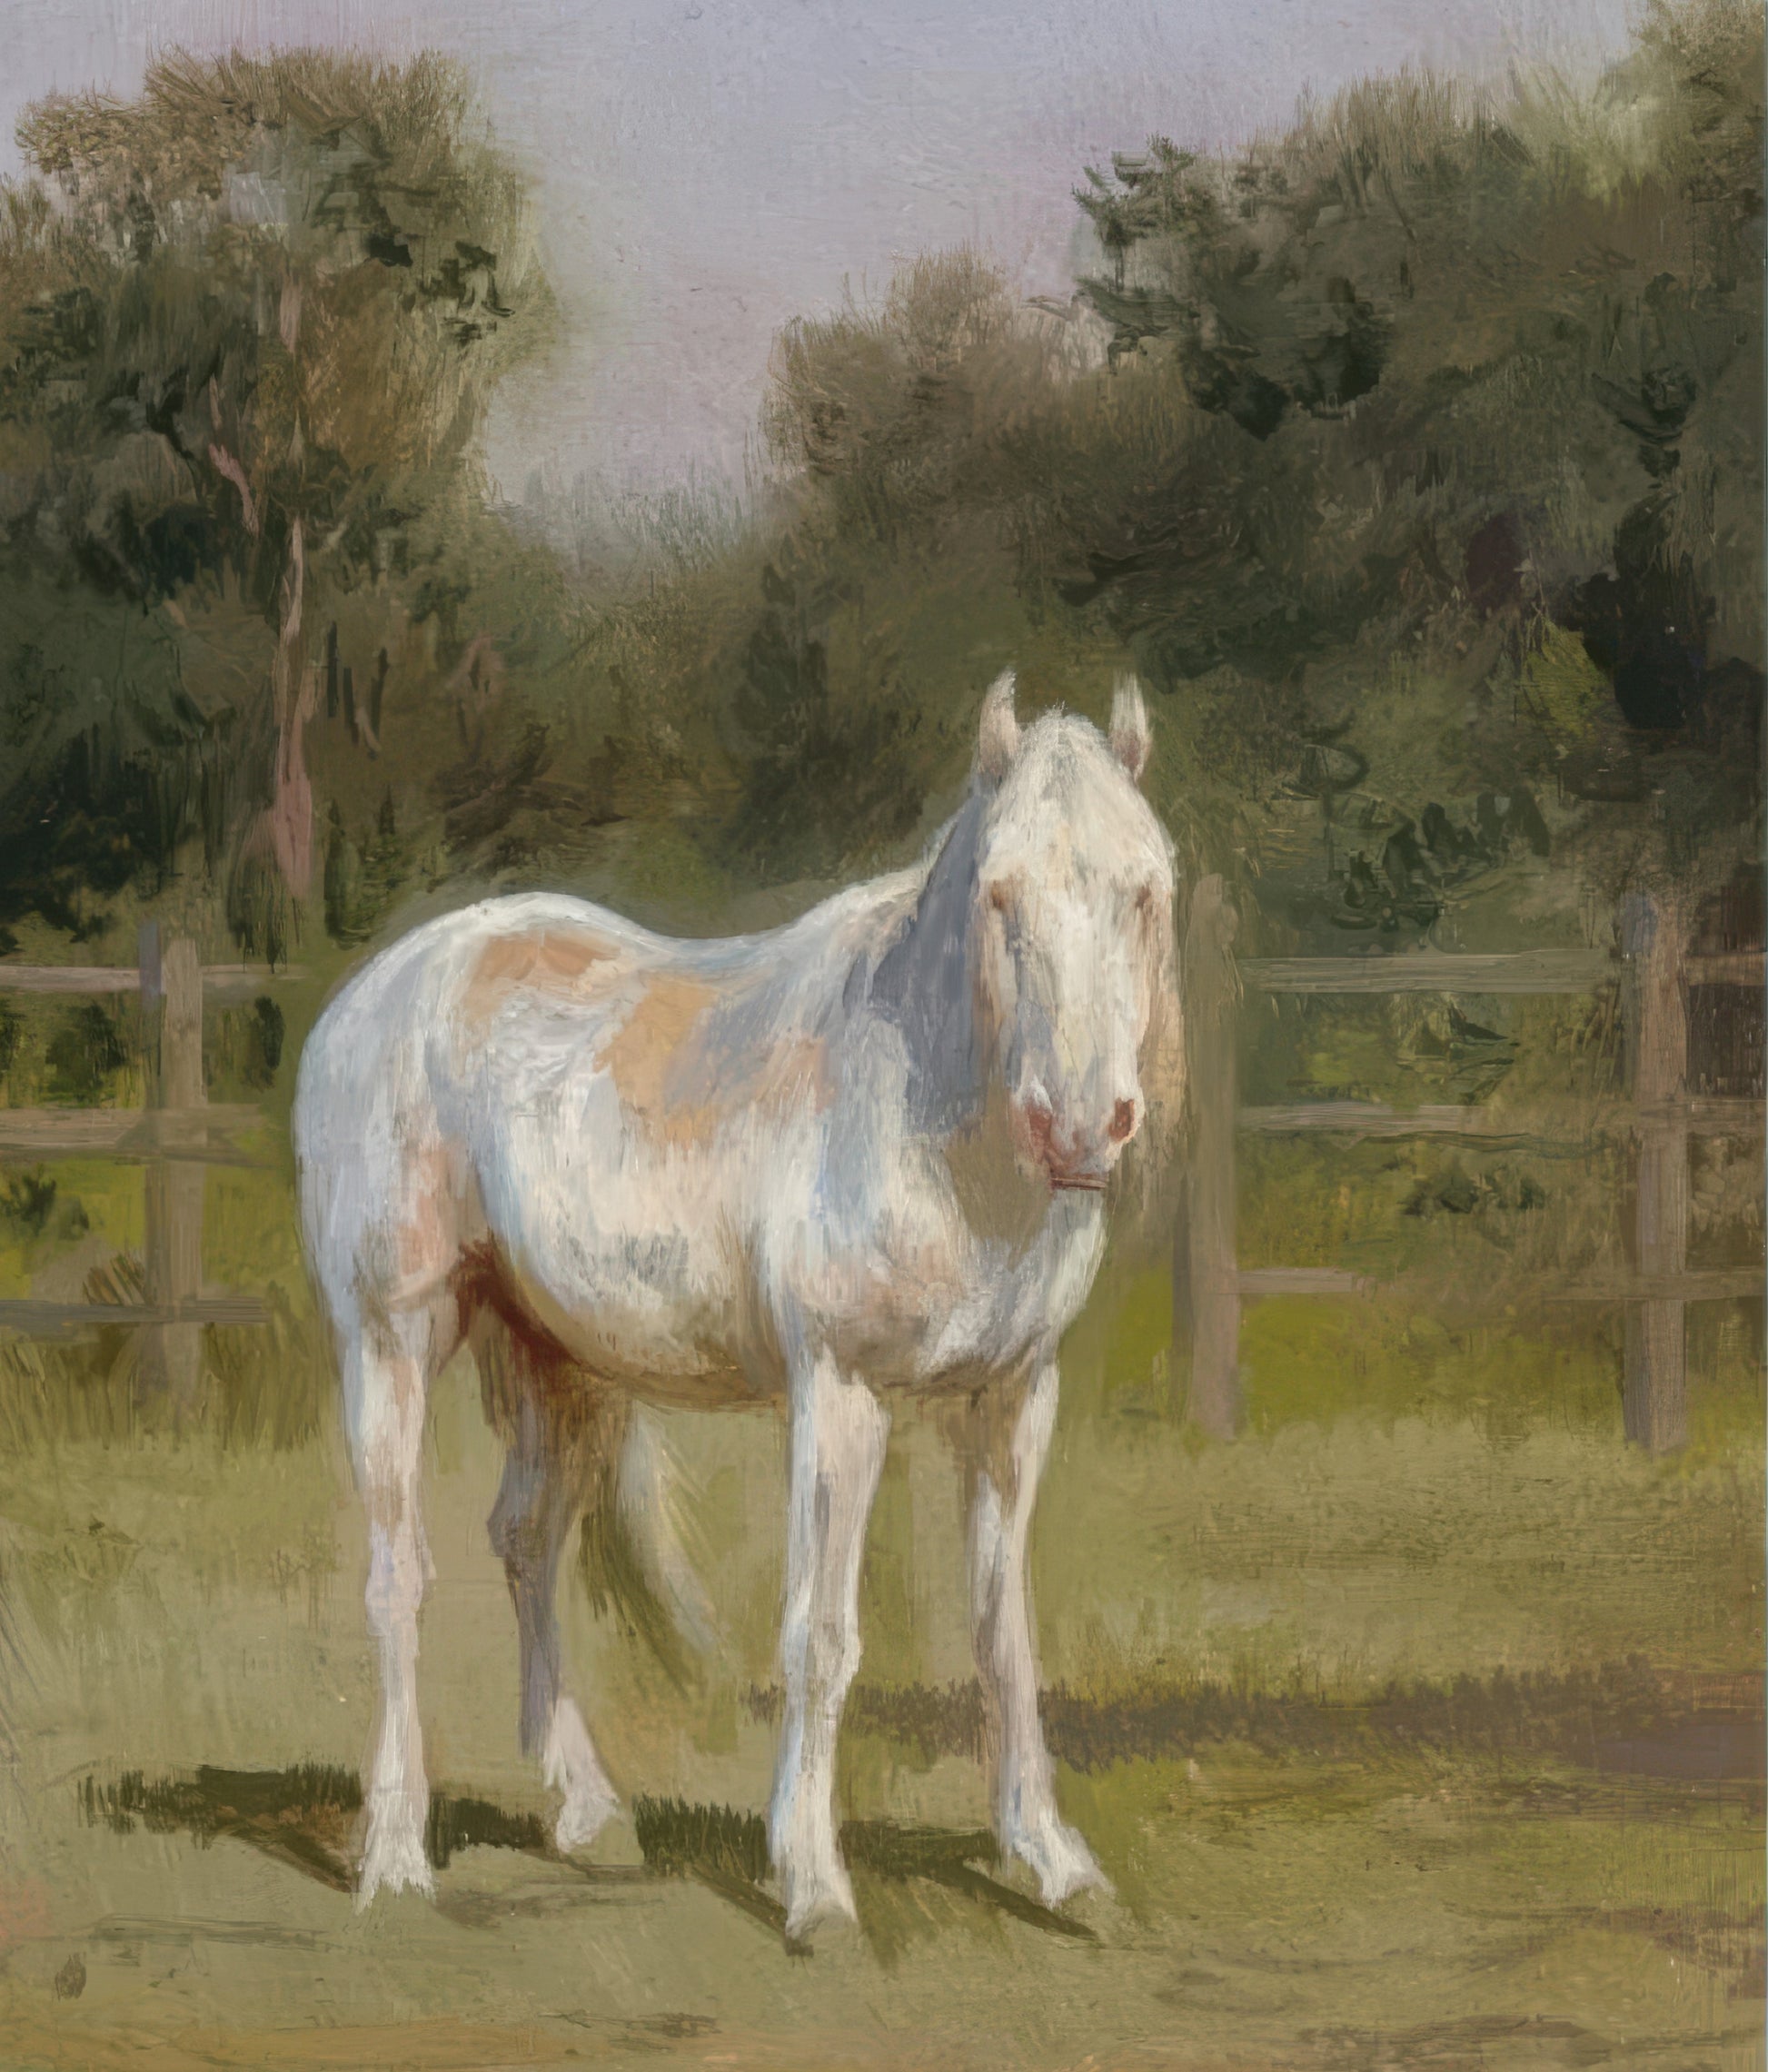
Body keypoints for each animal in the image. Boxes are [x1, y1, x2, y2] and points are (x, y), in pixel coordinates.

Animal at [292, 670, 1181, 1939]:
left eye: (1143, 889)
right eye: (1000, 892)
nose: (1080, 1125)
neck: (932, 1108)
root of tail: (376, 989)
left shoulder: (1013, 1399)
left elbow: (1001, 1628)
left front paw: (1048, 1858)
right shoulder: (840, 1393)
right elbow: (821, 1633)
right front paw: (811, 1883)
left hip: (557, 1358)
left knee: (525, 1539)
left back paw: (583, 1811)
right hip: (391, 1337)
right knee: (396, 1575)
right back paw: (395, 1854)